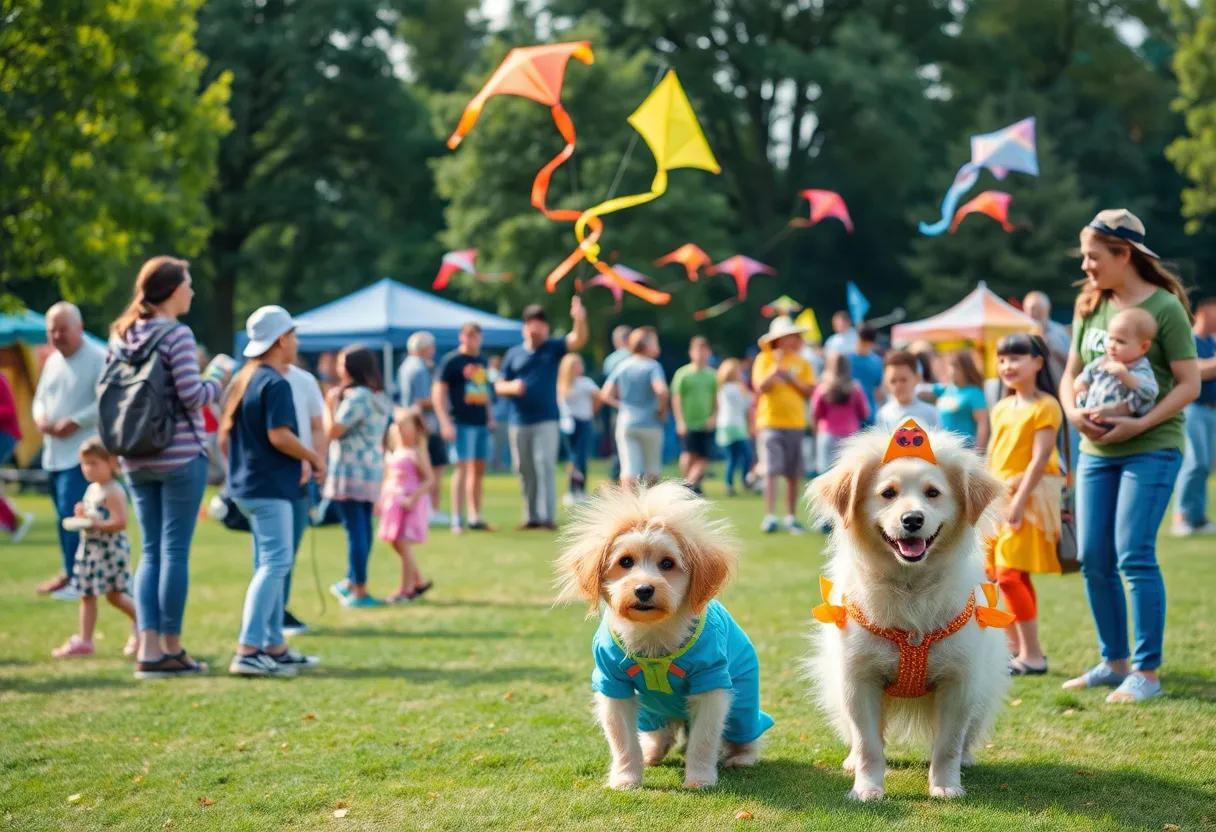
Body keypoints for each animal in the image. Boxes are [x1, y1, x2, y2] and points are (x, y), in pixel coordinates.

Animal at [556, 481, 773, 788]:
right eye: (625, 561)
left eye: (667, 563)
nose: (644, 589)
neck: (654, 633)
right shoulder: (612, 683)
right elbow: (622, 739)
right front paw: (626, 779)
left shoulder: (712, 682)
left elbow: (704, 739)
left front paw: (699, 779)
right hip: (652, 709)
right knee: (661, 734)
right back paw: (652, 752)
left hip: (744, 702)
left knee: (746, 733)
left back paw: (740, 757)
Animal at [802, 423, 1011, 797]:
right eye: (888, 493)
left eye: (933, 493)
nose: (912, 519)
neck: (910, 588)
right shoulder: (858, 679)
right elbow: (868, 745)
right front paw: (867, 789)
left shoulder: (959, 681)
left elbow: (948, 745)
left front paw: (946, 787)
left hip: (983, 687)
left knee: (968, 733)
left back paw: (967, 759)